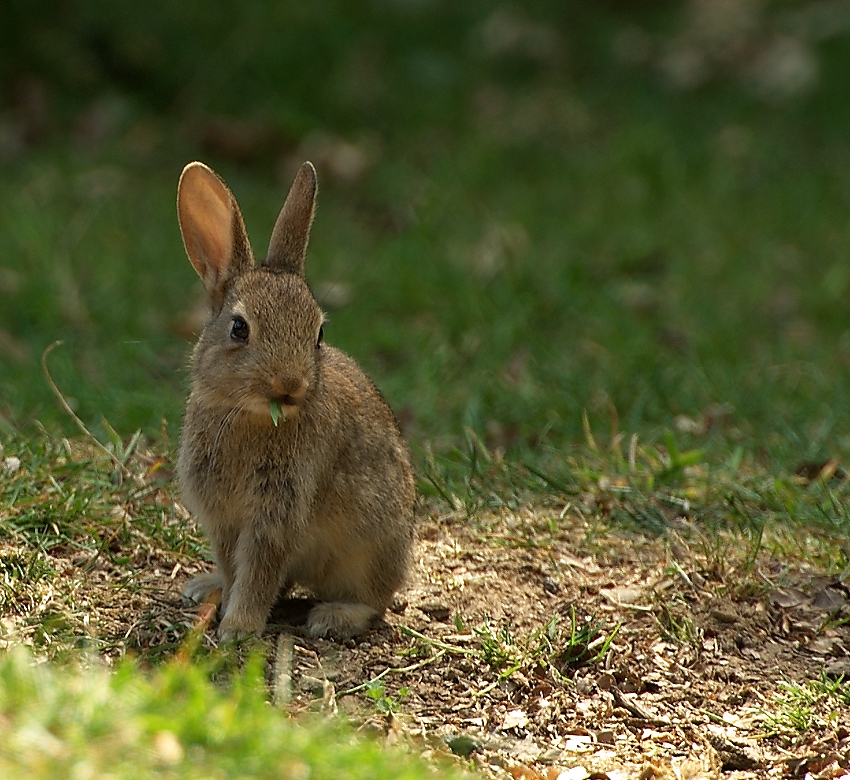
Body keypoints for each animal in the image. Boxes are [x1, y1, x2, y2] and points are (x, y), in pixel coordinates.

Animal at [177, 158, 416, 640]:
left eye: (318, 334)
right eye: (239, 328)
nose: (290, 384)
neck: (250, 418)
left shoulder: (277, 514)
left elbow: (258, 571)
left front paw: (239, 628)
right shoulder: (224, 519)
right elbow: (236, 568)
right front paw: (229, 608)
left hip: (372, 551)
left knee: (374, 601)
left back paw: (334, 617)